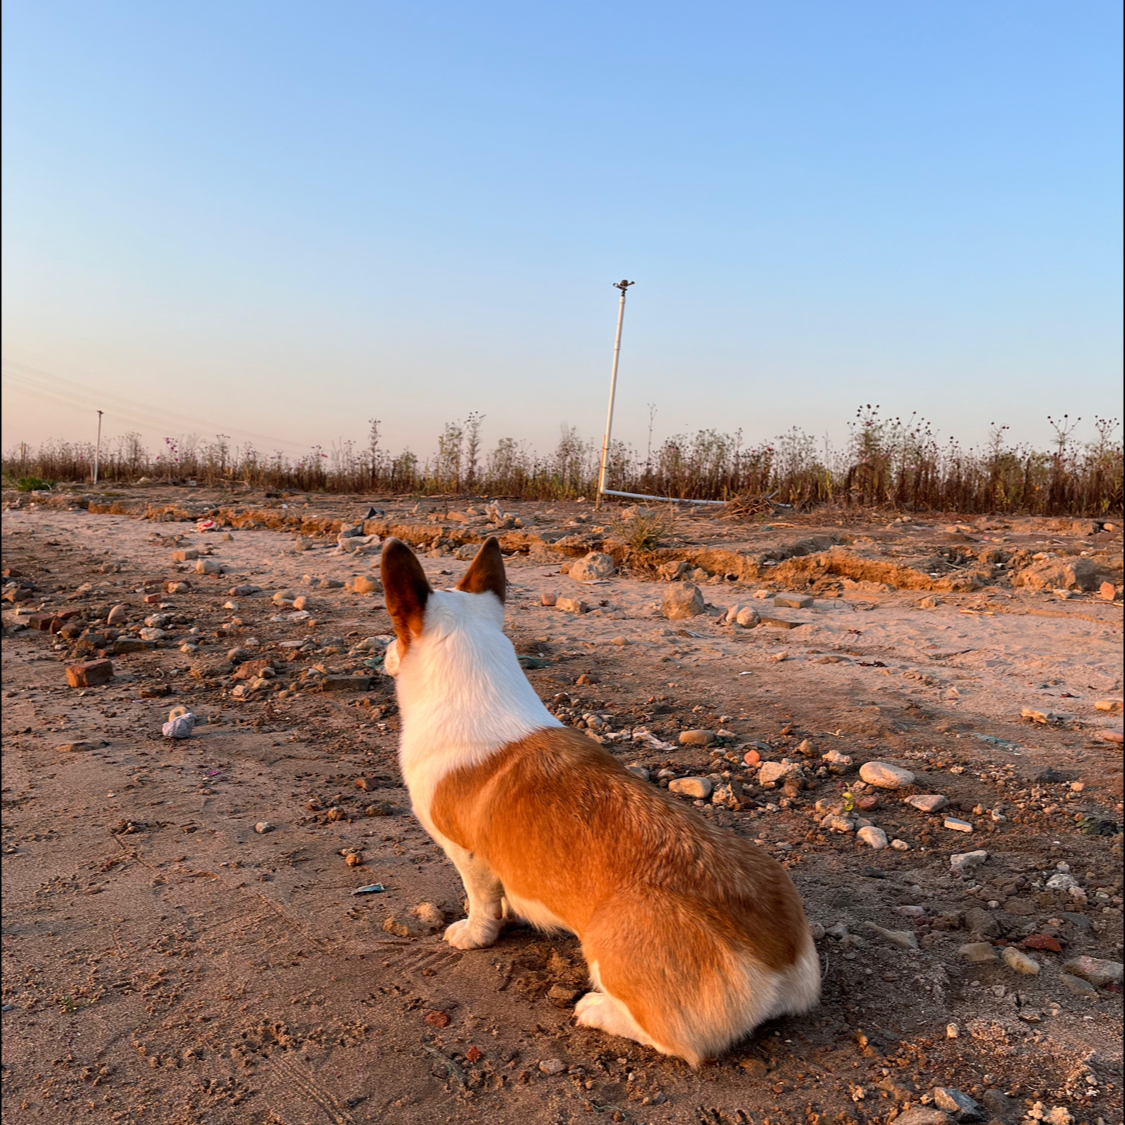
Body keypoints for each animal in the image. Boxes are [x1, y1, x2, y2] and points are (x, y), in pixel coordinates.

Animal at [378, 535, 819, 1062]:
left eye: (395, 629)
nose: (382, 653)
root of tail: (778, 957)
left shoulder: (467, 855)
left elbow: (480, 902)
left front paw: (472, 934)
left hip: (609, 947)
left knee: (675, 1041)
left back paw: (596, 1009)